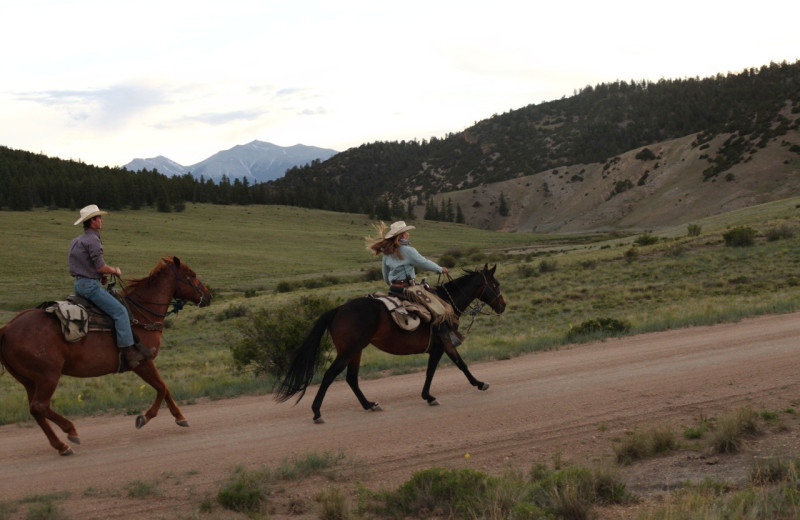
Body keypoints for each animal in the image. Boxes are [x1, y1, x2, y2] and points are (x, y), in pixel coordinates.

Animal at [0, 256, 211, 456]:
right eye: (192, 275)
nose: (208, 296)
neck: (139, 314)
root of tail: (7, 329)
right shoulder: (141, 362)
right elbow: (161, 387)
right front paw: (144, 418)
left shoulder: (145, 364)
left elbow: (164, 388)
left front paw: (180, 417)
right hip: (48, 376)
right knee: (40, 406)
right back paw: (71, 431)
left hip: (29, 381)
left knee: (35, 410)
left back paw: (61, 446)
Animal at [276, 264, 500, 422]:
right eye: (496, 285)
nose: (503, 305)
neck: (446, 301)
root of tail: (338, 309)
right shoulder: (443, 344)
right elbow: (458, 364)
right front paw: (479, 384)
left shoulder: (437, 347)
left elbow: (433, 371)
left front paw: (428, 396)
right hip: (348, 352)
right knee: (330, 375)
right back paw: (317, 412)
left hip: (356, 351)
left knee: (351, 378)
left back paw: (369, 405)